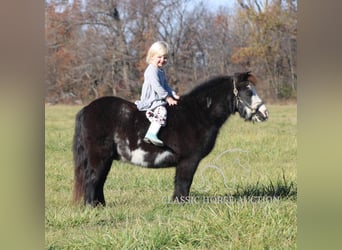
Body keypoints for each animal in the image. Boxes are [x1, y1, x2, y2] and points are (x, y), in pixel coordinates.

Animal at [73, 71, 268, 206]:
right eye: (248, 91)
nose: (264, 113)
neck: (198, 114)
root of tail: (87, 109)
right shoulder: (189, 160)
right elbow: (184, 183)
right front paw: (180, 204)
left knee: (99, 180)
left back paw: (100, 205)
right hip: (99, 156)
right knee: (92, 179)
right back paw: (91, 207)